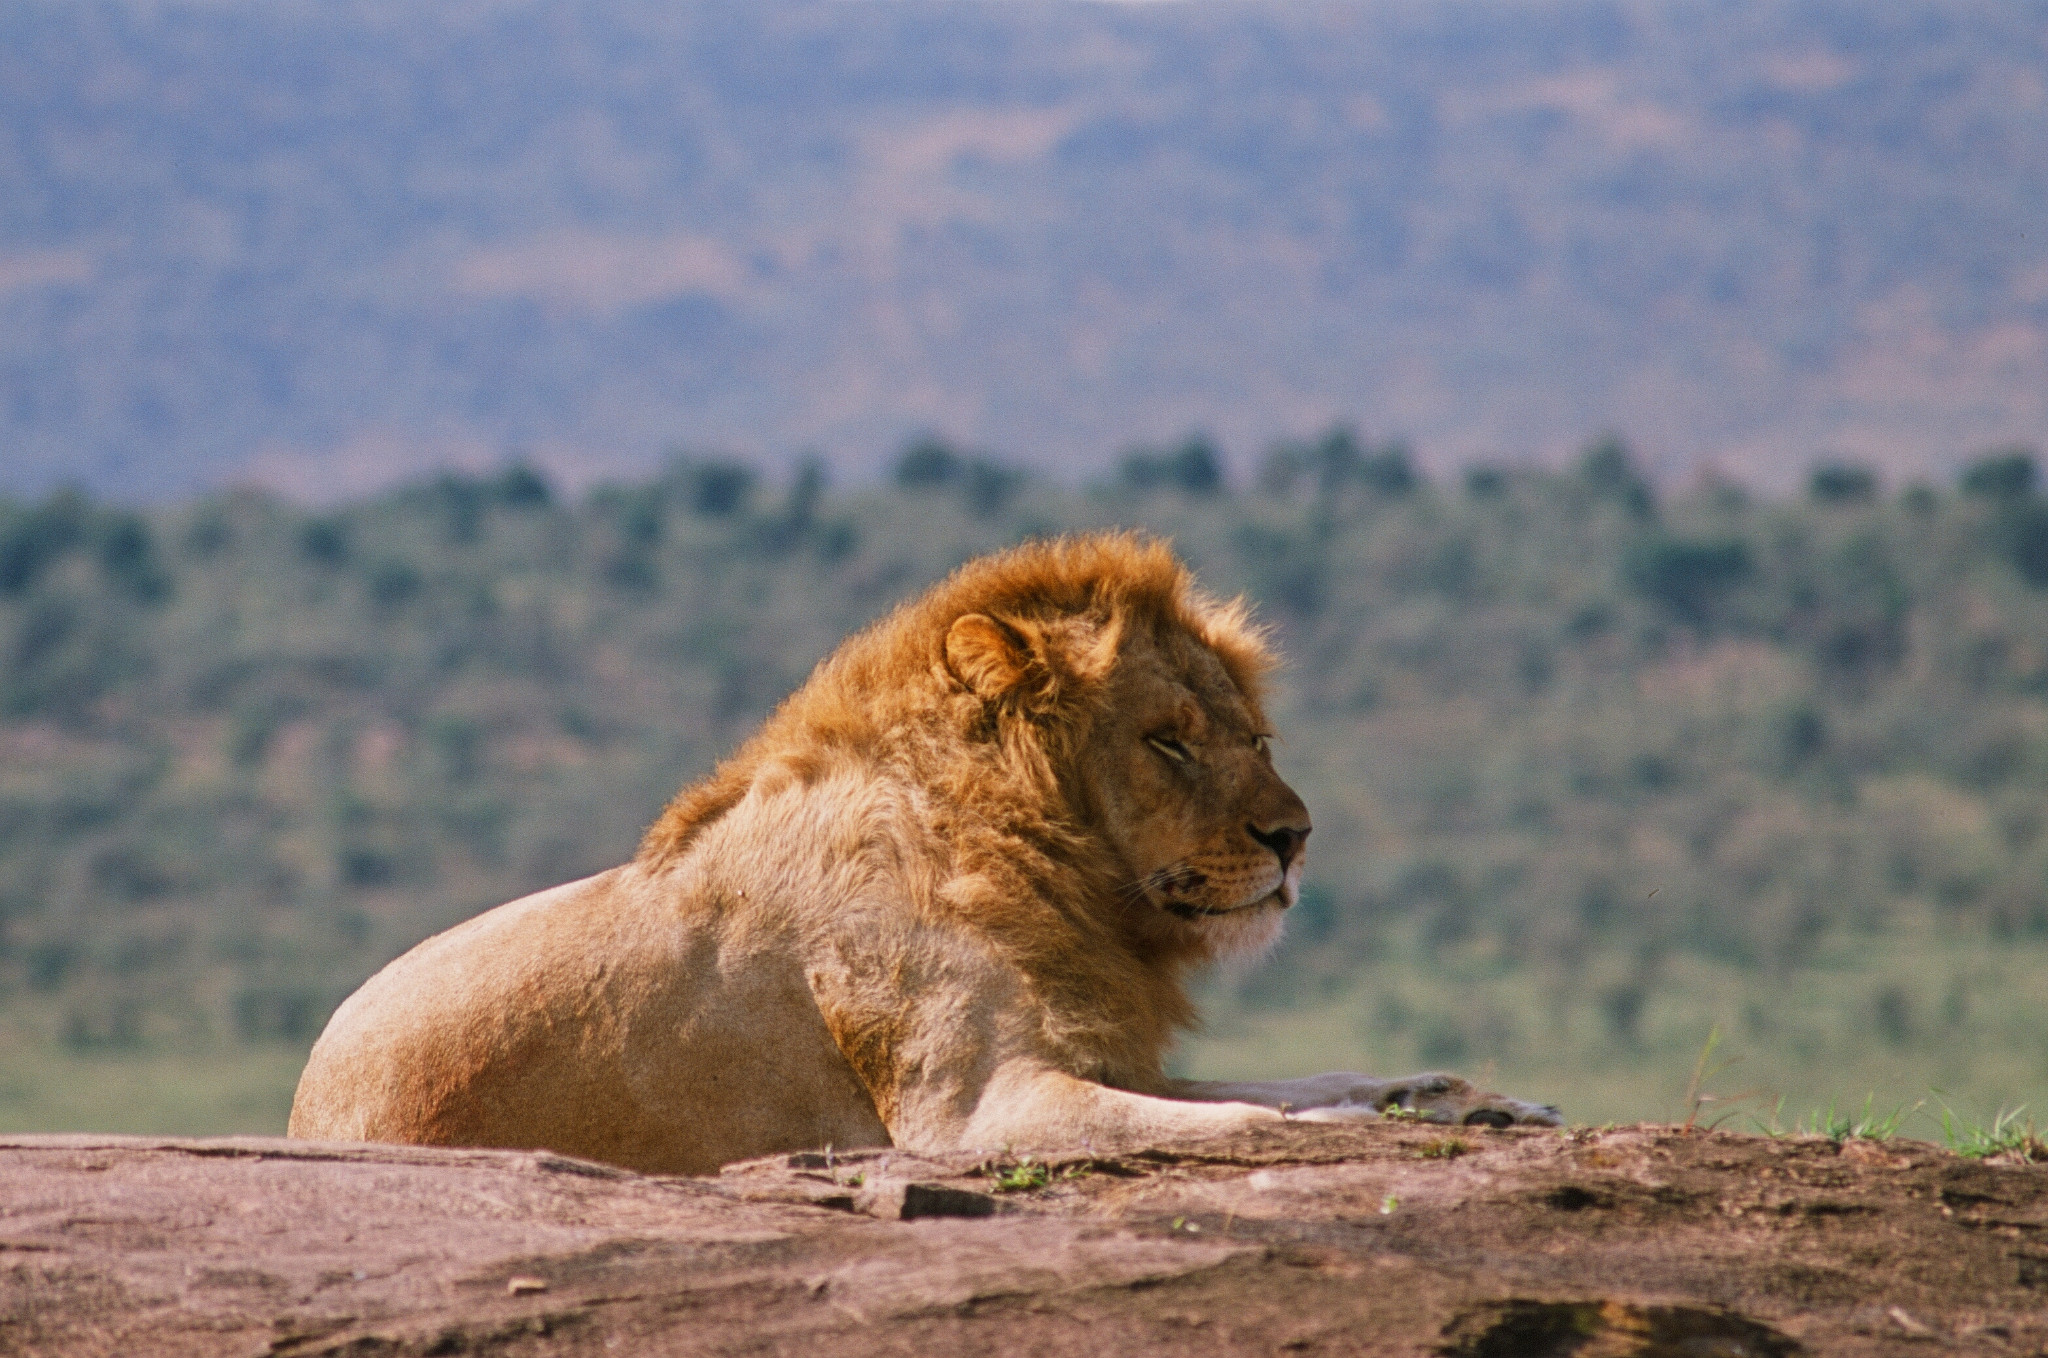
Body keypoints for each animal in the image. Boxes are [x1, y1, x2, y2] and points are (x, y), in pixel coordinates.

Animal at [288, 536, 1556, 1171]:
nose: (1293, 835)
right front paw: (1396, 1133)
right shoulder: (974, 1109)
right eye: (1165, 739)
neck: (1051, 866)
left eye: (1255, 736)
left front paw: (1479, 1100)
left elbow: (1309, 1080)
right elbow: (1258, 1122)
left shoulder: (1098, 1052)